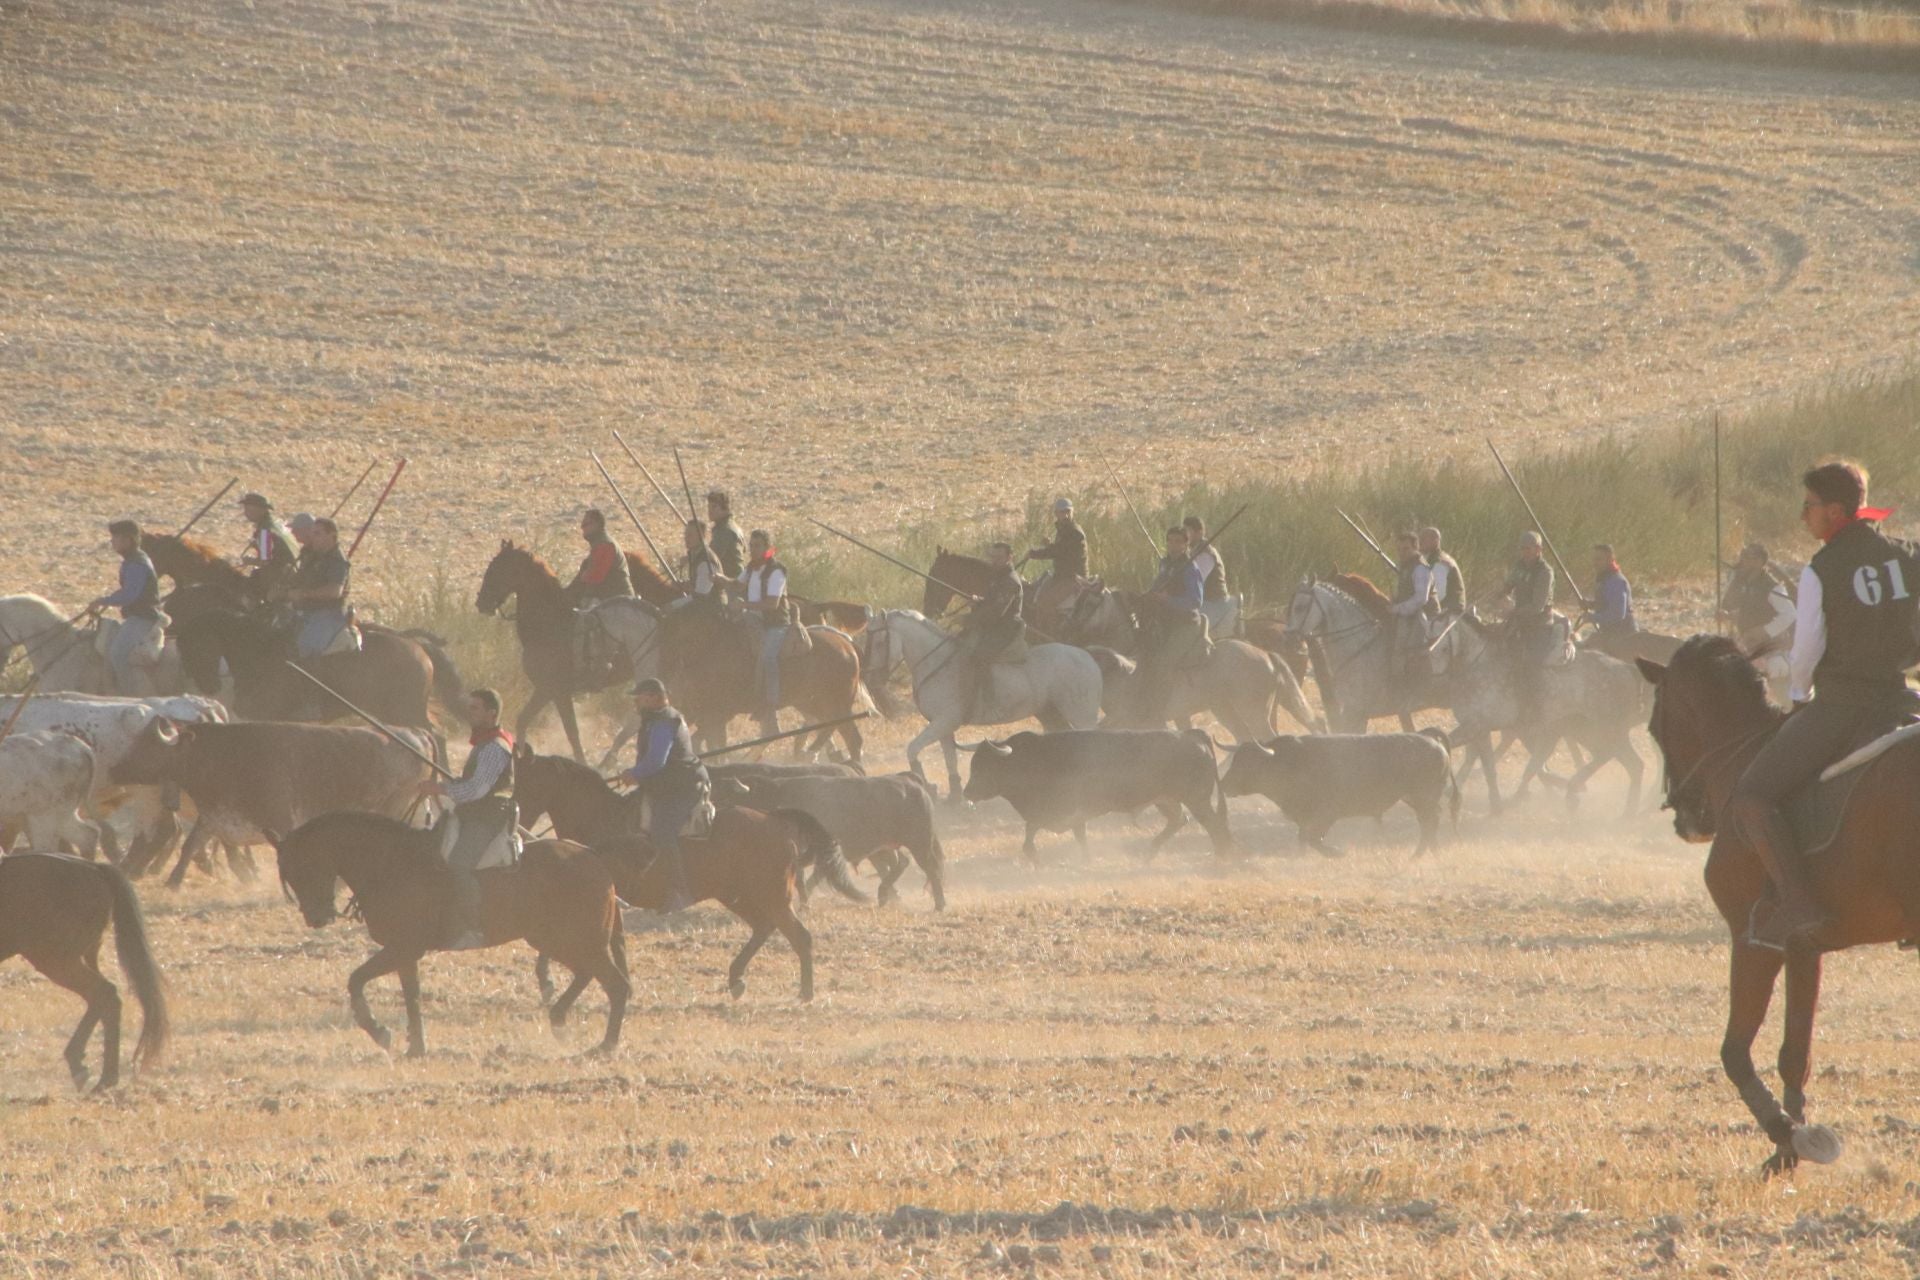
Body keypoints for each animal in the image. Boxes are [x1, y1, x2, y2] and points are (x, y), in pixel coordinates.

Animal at [274, 817, 629, 1059]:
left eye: (302, 866)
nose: (316, 917)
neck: (390, 864)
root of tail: (593, 858)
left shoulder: (402, 948)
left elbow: (359, 980)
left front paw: (381, 1033)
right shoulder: (405, 954)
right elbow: (411, 995)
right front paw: (415, 1046)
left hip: (577, 940)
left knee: (616, 984)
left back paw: (605, 1046)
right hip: (556, 940)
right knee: (588, 975)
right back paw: (560, 1022)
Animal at [864, 610, 1105, 802]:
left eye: (879, 642)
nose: (872, 680)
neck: (937, 664)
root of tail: (1086, 655)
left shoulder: (943, 722)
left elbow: (913, 749)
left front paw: (928, 787)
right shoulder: (943, 727)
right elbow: (950, 760)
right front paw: (955, 798)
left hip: (1081, 717)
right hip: (1050, 715)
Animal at [1628, 637, 1920, 1174]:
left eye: (1655, 726)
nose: (1686, 816)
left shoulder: (1752, 941)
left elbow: (1735, 1050)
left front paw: (1789, 1135)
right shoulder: (1803, 947)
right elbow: (1794, 1053)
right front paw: (1786, 1151)